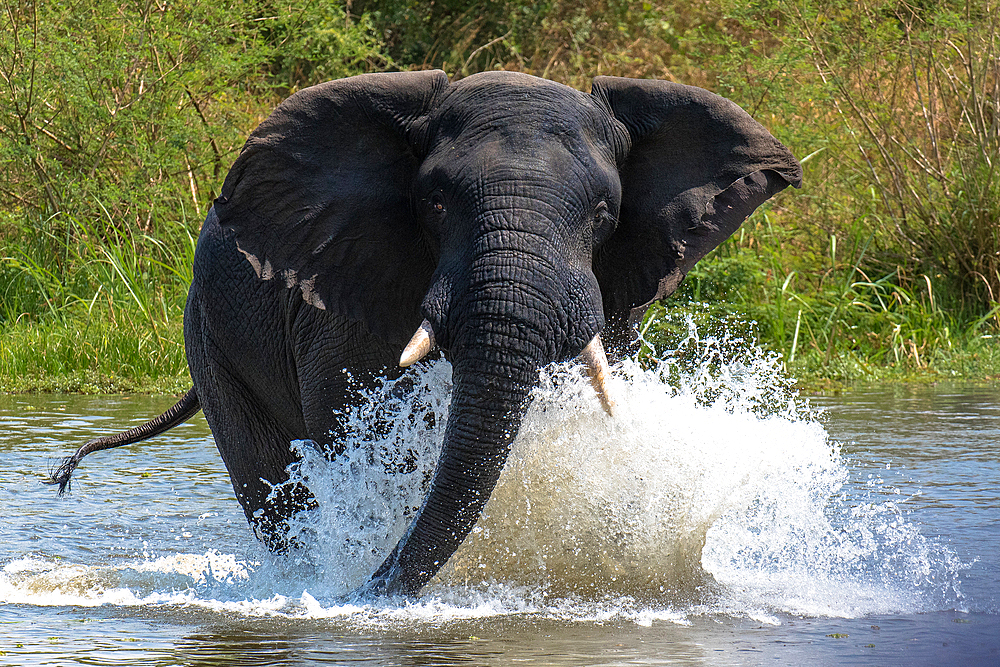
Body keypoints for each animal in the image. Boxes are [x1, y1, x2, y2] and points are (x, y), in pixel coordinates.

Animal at [48, 70, 804, 596]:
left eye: (605, 213)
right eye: (434, 202)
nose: (366, 591)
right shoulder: (347, 297)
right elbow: (367, 439)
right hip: (209, 336)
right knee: (270, 480)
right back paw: (309, 573)